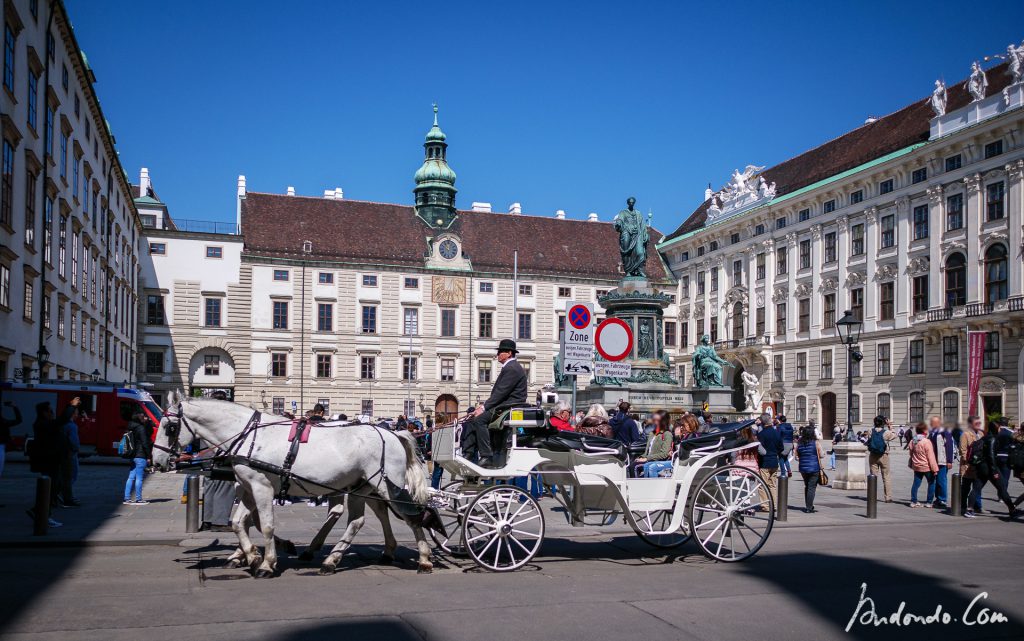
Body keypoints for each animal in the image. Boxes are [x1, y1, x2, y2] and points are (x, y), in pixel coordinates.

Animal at [152, 389, 436, 573]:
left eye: (169, 427)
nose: (157, 461)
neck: (248, 436)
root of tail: (393, 433)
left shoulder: (262, 487)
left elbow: (265, 525)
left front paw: (266, 563)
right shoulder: (247, 487)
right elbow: (239, 522)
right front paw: (250, 555)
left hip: (388, 486)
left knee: (412, 516)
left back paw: (423, 558)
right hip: (363, 486)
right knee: (361, 519)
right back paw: (341, 558)